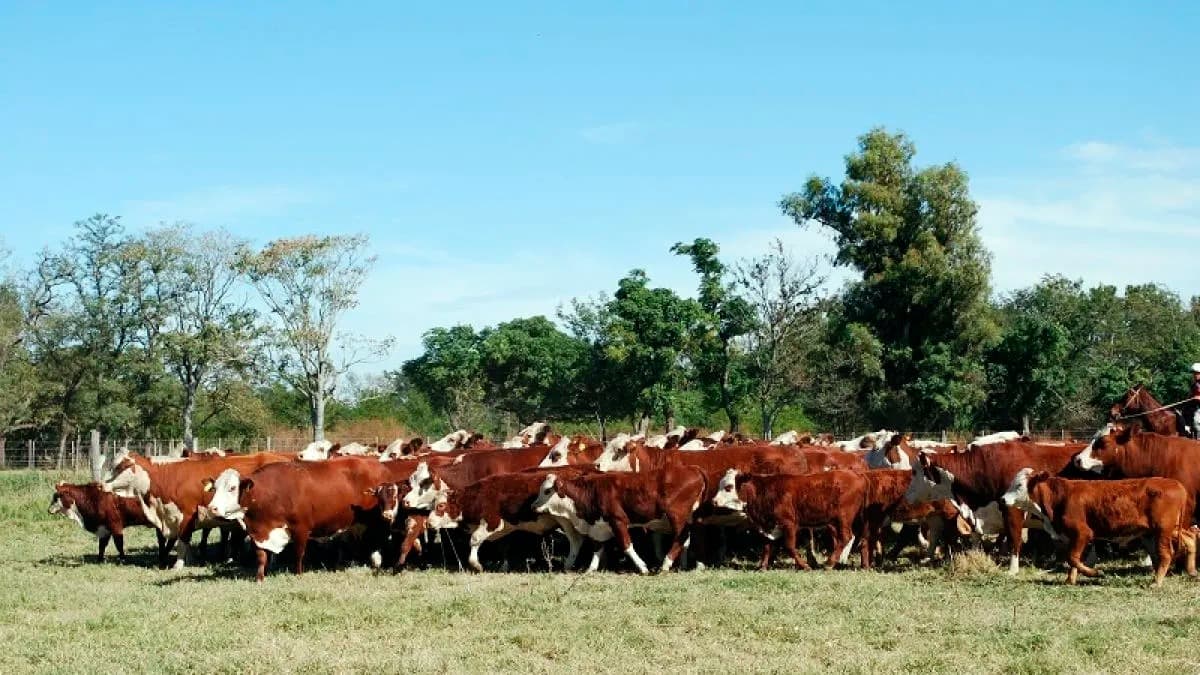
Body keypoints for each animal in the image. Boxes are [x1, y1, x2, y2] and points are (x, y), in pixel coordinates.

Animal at [532, 464, 706, 574]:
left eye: (547, 491)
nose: (533, 507)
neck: (592, 492)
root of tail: (692, 468)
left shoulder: (618, 521)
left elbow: (626, 545)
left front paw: (642, 567)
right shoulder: (597, 526)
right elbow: (597, 548)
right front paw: (590, 569)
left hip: (676, 515)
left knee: (681, 537)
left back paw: (665, 564)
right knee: (686, 540)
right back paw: (684, 565)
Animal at [712, 469, 867, 570]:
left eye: (728, 487)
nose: (714, 501)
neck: (765, 491)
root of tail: (856, 475)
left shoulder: (789, 524)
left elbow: (789, 546)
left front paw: (804, 565)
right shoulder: (770, 526)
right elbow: (767, 546)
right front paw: (762, 566)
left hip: (843, 518)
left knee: (845, 537)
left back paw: (830, 563)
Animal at [904, 438, 1087, 574]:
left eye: (915, 472)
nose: (906, 495)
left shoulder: (1013, 510)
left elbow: (1014, 538)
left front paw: (1013, 569)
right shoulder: (976, 515)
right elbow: (976, 537)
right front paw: (974, 556)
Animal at [1002, 468, 1198, 586]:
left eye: (1019, 485)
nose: (1003, 499)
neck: (1059, 497)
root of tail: (1175, 484)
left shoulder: (1083, 532)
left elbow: (1073, 558)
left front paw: (1096, 573)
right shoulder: (1072, 536)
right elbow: (1072, 559)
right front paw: (1069, 581)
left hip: (1162, 530)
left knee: (1166, 554)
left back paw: (1156, 582)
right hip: (1168, 528)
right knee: (1190, 538)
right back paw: (1192, 571)